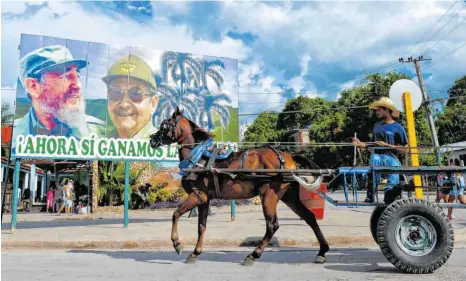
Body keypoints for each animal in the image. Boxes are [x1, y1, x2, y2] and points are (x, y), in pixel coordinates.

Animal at [148, 106, 328, 264]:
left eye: (165, 125)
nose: (152, 140)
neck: (198, 158)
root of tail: (287, 156)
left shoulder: (197, 195)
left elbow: (175, 214)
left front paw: (177, 243)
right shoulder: (205, 199)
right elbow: (201, 226)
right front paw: (195, 253)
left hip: (269, 195)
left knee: (272, 225)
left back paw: (253, 255)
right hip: (288, 195)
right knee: (309, 217)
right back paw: (322, 251)